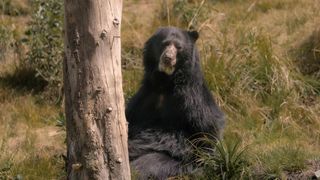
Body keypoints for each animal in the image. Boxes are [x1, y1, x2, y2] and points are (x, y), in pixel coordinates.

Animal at [126, 27, 224, 180]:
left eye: (179, 47)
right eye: (165, 44)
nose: (168, 58)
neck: (166, 83)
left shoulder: (193, 102)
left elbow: (207, 128)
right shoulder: (145, 96)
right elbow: (131, 119)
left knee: (146, 165)